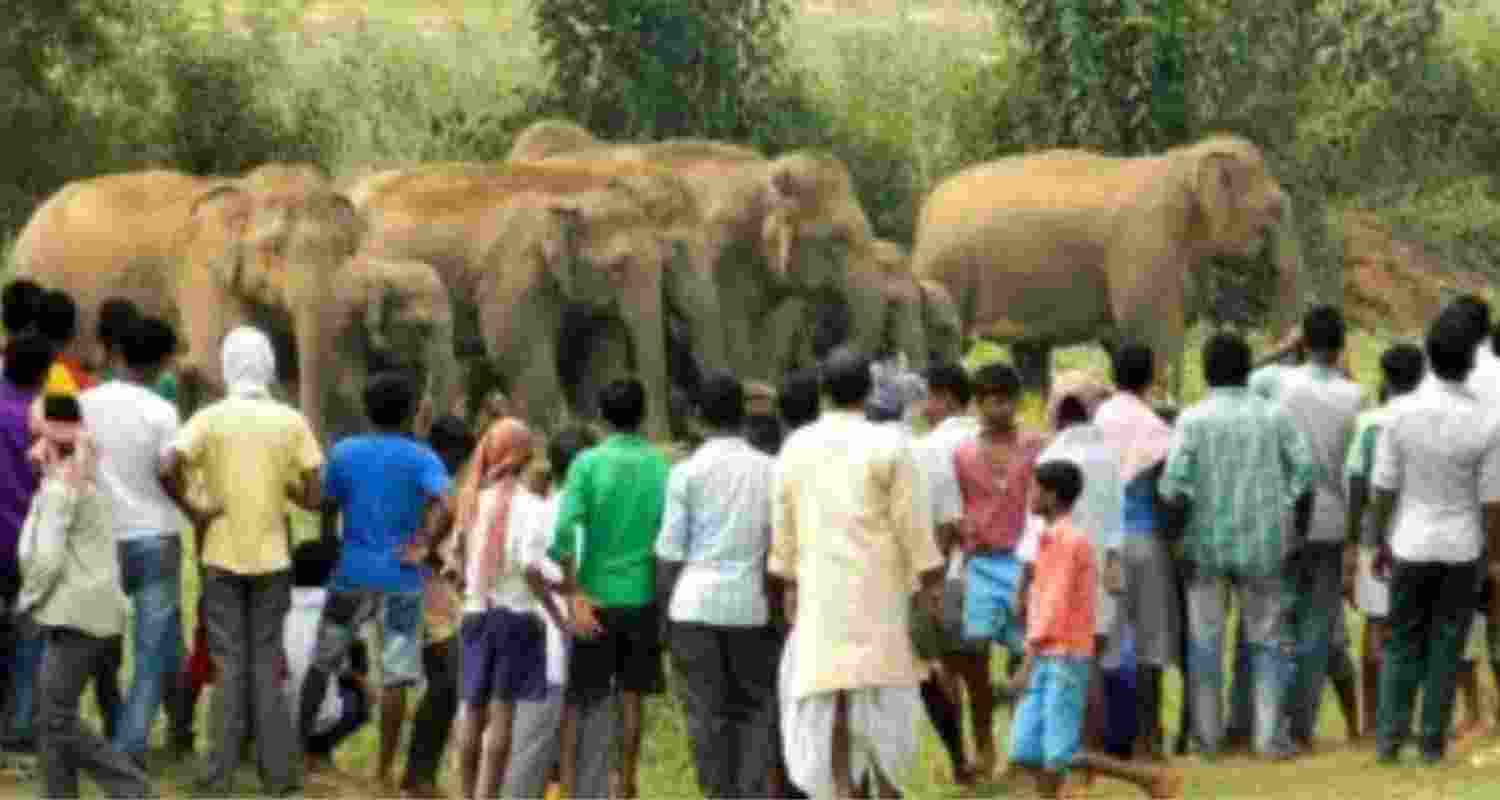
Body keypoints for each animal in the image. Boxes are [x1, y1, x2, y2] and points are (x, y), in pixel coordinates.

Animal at [350, 160, 711, 439]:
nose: (667, 444)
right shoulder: (514, 277)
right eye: (617, 267)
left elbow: (599, 357)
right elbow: (517, 353)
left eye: (665, 259)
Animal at [912, 134, 1301, 398]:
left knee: (1031, 357)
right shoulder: (1143, 243)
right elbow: (1153, 334)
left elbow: (1130, 342)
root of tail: (925, 210)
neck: (1184, 159)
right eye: (1275, 210)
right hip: (945, 269)